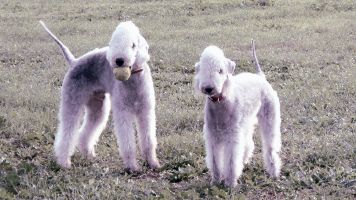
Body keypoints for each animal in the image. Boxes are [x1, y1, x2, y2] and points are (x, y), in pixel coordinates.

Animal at [39, 20, 160, 171]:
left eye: (133, 45)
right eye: (113, 43)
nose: (119, 60)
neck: (133, 79)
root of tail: (74, 61)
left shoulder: (146, 110)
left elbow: (149, 140)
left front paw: (153, 163)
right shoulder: (123, 112)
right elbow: (127, 143)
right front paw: (132, 167)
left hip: (97, 105)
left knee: (84, 133)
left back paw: (89, 155)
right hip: (72, 100)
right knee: (67, 132)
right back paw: (63, 162)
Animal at [195, 41, 280, 188]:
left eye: (220, 70)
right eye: (202, 69)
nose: (208, 88)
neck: (220, 101)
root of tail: (261, 77)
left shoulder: (232, 136)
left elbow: (230, 161)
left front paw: (229, 183)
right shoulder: (212, 135)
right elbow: (215, 160)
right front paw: (215, 181)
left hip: (269, 118)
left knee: (270, 147)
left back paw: (273, 171)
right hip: (246, 122)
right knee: (248, 143)